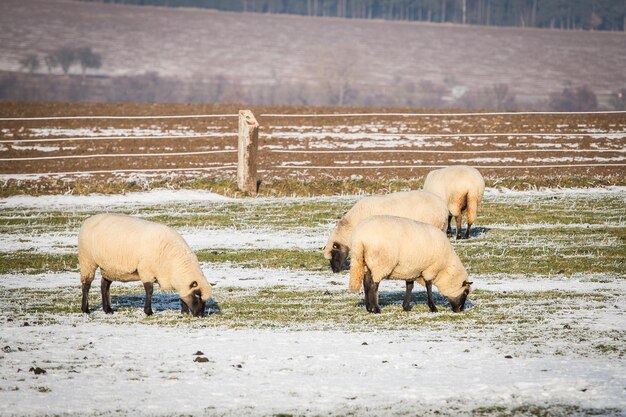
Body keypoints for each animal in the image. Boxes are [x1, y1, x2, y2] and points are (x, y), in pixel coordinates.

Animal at [77, 214, 210, 316]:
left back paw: (107, 310)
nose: (200, 315)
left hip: (109, 267)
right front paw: (148, 311)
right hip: (87, 260)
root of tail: (88, 220)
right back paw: (85, 309)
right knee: (86, 284)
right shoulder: (146, 270)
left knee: (104, 285)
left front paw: (184, 312)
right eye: (197, 295)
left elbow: (182, 295)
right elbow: (149, 290)